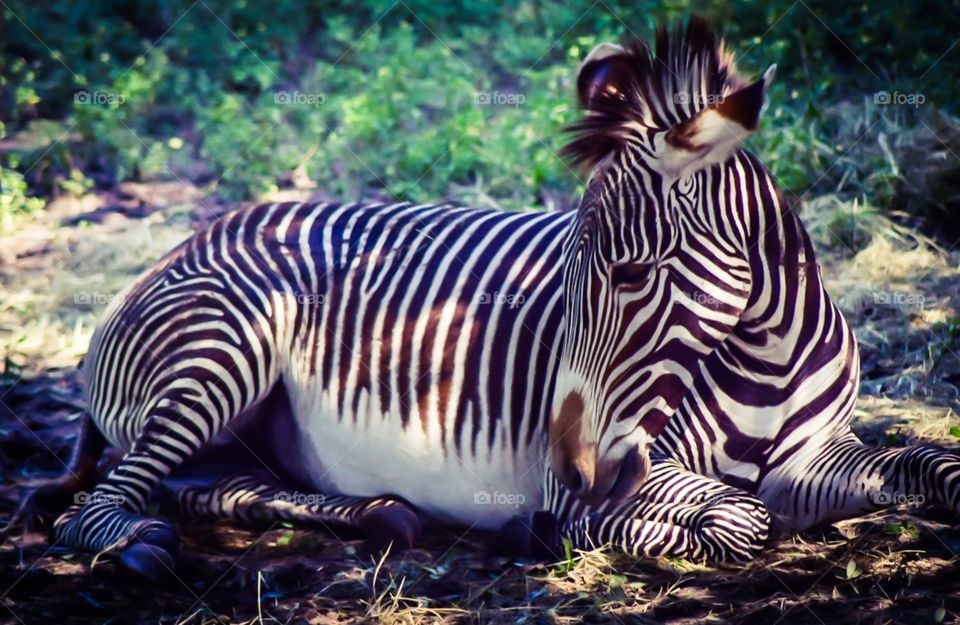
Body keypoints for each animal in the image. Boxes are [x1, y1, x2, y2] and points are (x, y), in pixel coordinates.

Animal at [9, 17, 960, 581]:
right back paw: (133, 546)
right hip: (220, 350)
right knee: (108, 502)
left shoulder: (817, 454)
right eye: (568, 277)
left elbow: (928, 466)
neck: (765, 354)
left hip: (245, 432)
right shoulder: (629, 477)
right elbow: (741, 519)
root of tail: (202, 232)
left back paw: (379, 513)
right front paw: (548, 532)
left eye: (627, 276)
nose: (571, 468)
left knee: (210, 487)